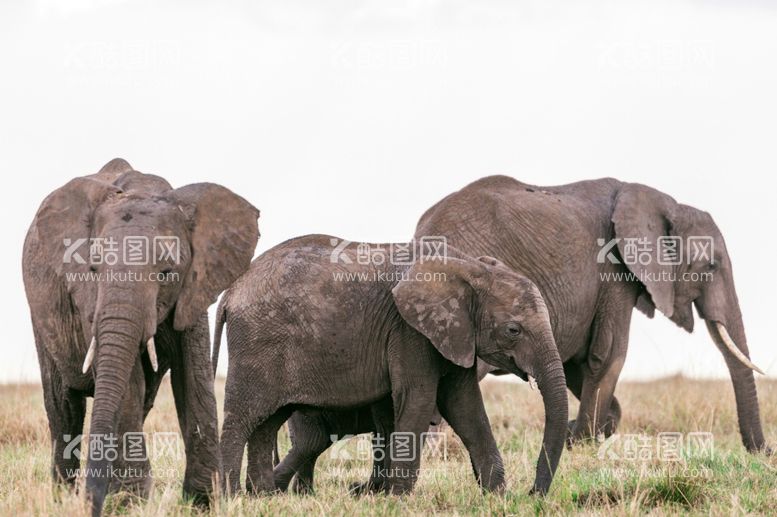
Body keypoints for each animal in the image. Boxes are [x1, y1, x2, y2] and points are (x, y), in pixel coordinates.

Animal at [22, 159, 260, 512]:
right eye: (94, 269)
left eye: (167, 273)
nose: (92, 503)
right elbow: (126, 383)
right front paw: (130, 503)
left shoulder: (195, 286)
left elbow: (194, 374)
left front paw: (203, 502)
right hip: (41, 316)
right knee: (64, 407)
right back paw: (62, 497)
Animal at [215, 234, 568, 496]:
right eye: (513, 330)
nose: (532, 493)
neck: (468, 267)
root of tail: (230, 292)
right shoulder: (408, 331)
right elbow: (418, 399)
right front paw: (398, 498)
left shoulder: (455, 333)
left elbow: (464, 406)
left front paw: (497, 497)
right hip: (256, 344)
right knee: (244, 419)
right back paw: (232, 497)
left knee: (268, 423)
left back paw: (263, 497)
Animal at [416, 174, 768, 452]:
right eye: (711, 265)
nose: (763, 452)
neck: (661, 202)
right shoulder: (614, 272)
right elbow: (608, 355)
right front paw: (581, 440)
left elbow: (577, 364)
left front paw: (579, 433)